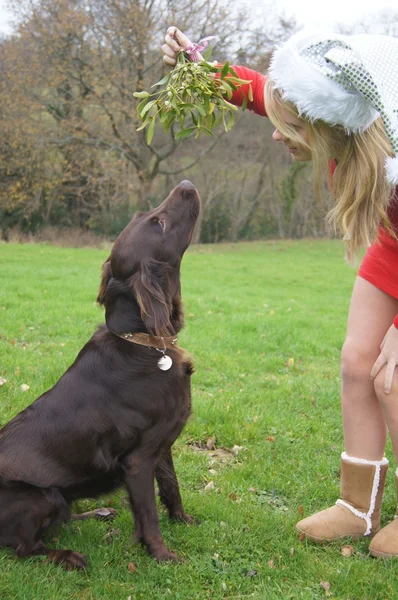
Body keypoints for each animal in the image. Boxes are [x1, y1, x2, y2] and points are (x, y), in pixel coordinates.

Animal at [0, 180, 201, 568]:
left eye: (148, 215)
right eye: (158, 223)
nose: (186, 185)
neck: (145, 342)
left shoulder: (162, 444)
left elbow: (172, 487)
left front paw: (183, 520)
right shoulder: (138, 461)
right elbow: (149, 515)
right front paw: (162, 555)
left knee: (61, 518)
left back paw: (96, 513)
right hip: (41, 496)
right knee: (25, 547)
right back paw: (68, 556)